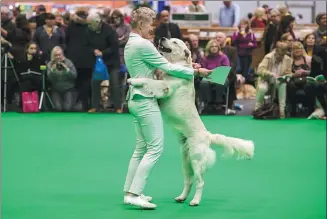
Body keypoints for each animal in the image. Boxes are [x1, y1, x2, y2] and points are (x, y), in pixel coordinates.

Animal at [127, 38, 256, 207]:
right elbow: (154, 78)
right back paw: (181, 197)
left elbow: (150, 81)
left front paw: (133, 79)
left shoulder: (166, 87)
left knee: (200, 182)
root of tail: (208, 135)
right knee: (189, 181)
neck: (176, 66)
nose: (162, 38)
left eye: (175, 42)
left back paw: (195, 201)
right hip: (185, 161)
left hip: (196, 159)